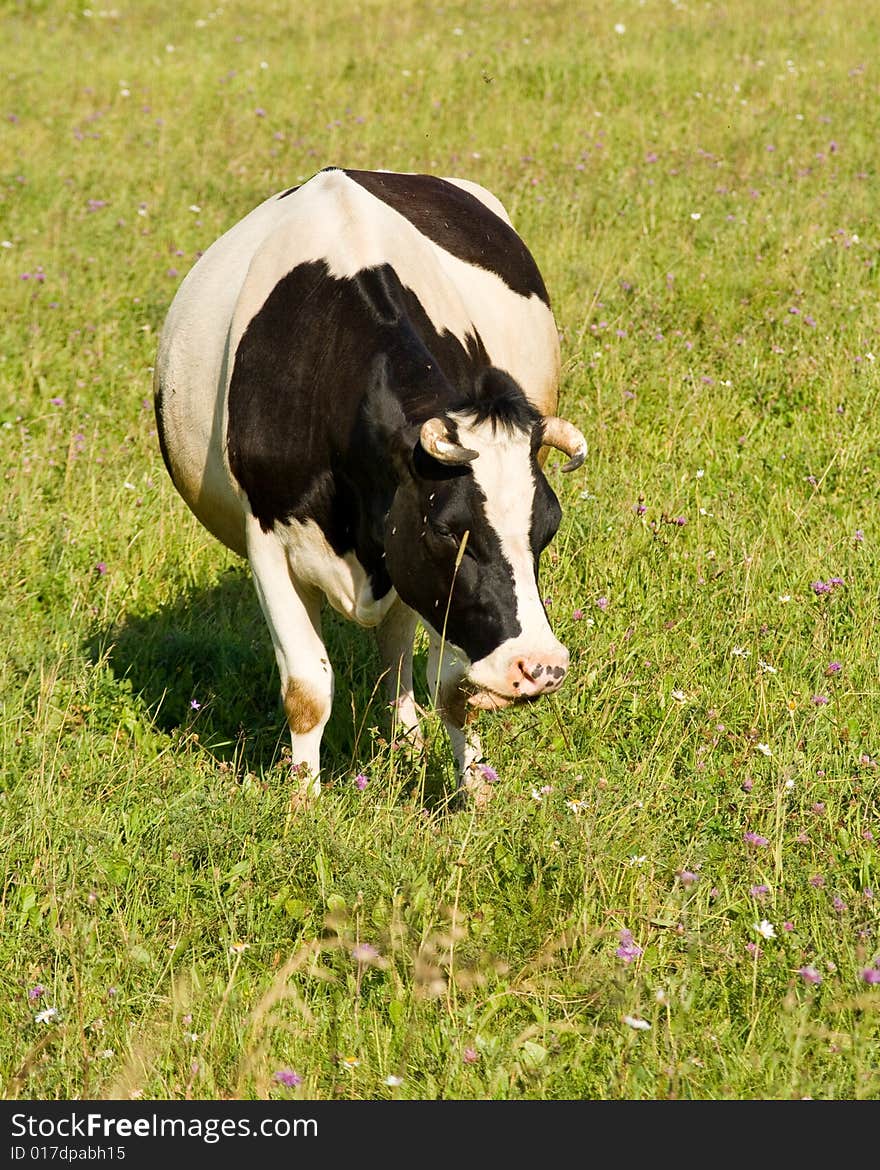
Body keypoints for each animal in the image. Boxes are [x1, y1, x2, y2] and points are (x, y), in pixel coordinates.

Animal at [154, 167, 587, 804]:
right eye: (447, 530)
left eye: (547, 529)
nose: (539, 667)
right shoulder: (268, 544)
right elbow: (307, 688)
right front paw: (301, 802)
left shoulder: (425, 576)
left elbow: (452, 687)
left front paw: (474, 791)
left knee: (396, 648)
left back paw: (406, 742)